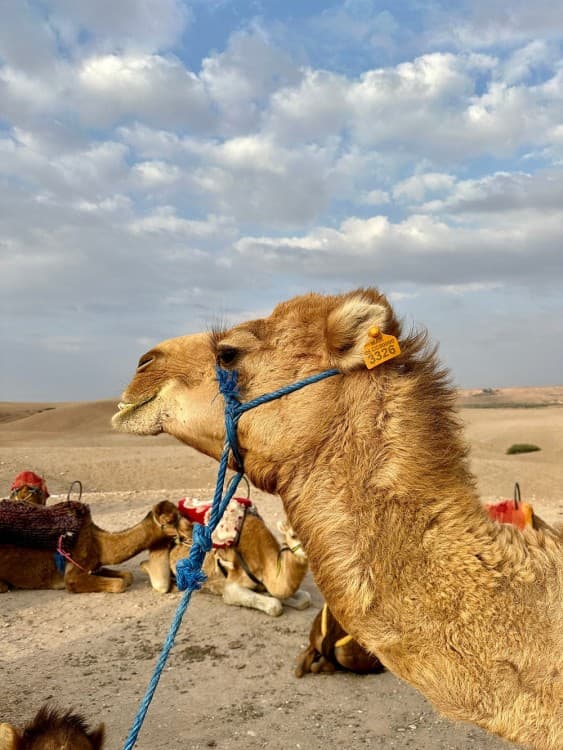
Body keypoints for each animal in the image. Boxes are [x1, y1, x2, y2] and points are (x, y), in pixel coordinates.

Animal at [0, 500, 189, 593]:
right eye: (170, 520)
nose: (190, 528)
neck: (98, 543)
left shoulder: (94, 566)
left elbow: (127, 576)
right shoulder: (73, 578)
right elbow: (119, 584)